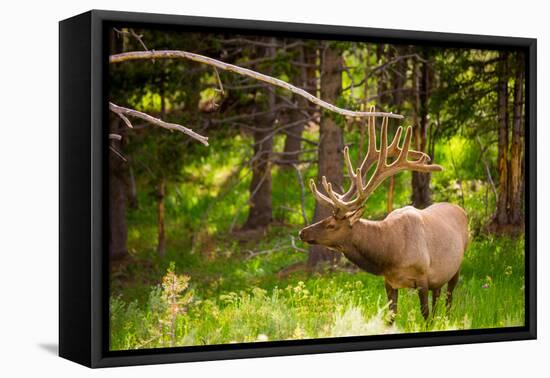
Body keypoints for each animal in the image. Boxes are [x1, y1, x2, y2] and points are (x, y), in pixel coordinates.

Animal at [302, 114, 470, 318]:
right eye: (325, 219)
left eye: (331, 225)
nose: (302, 232)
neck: (389, 254)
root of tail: (461, 210)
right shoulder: (390, 282)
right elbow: (391, 317)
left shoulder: (422, 277)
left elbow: (425, 315)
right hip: (439, 277)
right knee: (438, 296)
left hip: (457, 266)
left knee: (449, 298)